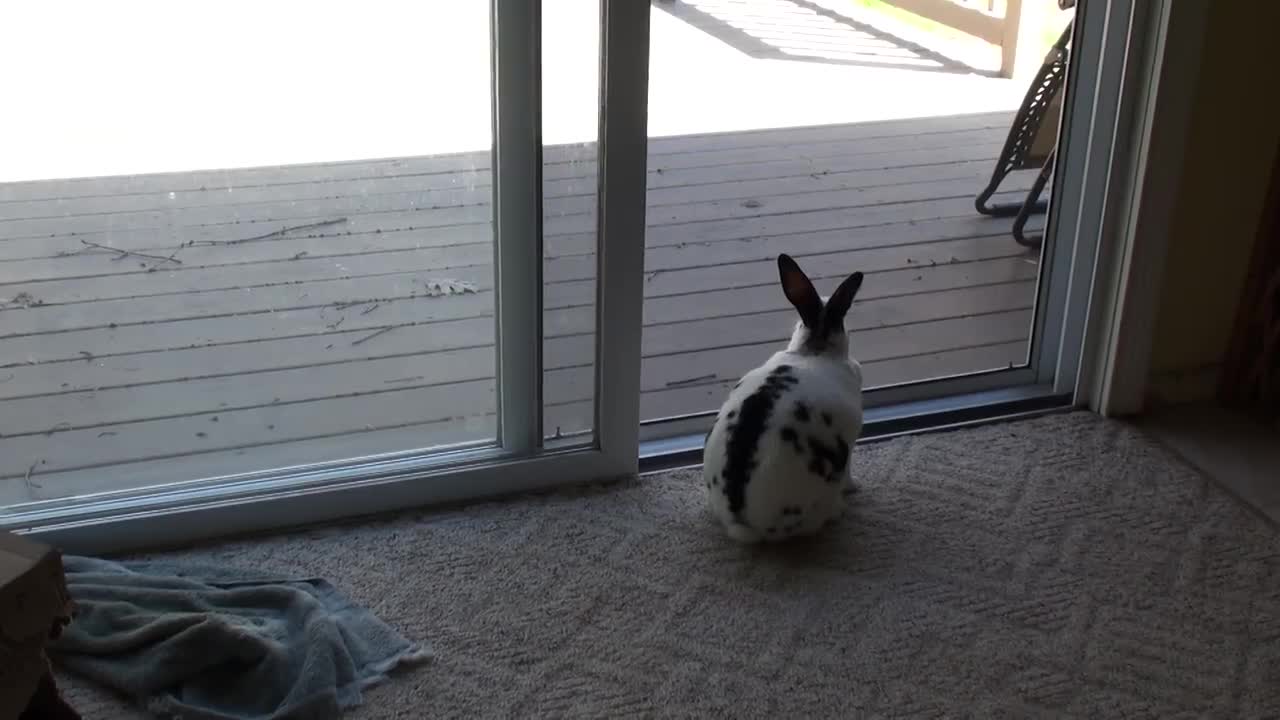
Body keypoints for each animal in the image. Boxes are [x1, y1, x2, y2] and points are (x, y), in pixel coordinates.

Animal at [702, 253, 865, 544]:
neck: (814, 350)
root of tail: (743, 522)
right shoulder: (851, 442)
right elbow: (849, 471)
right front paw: (855, 486)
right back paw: (839, 510)